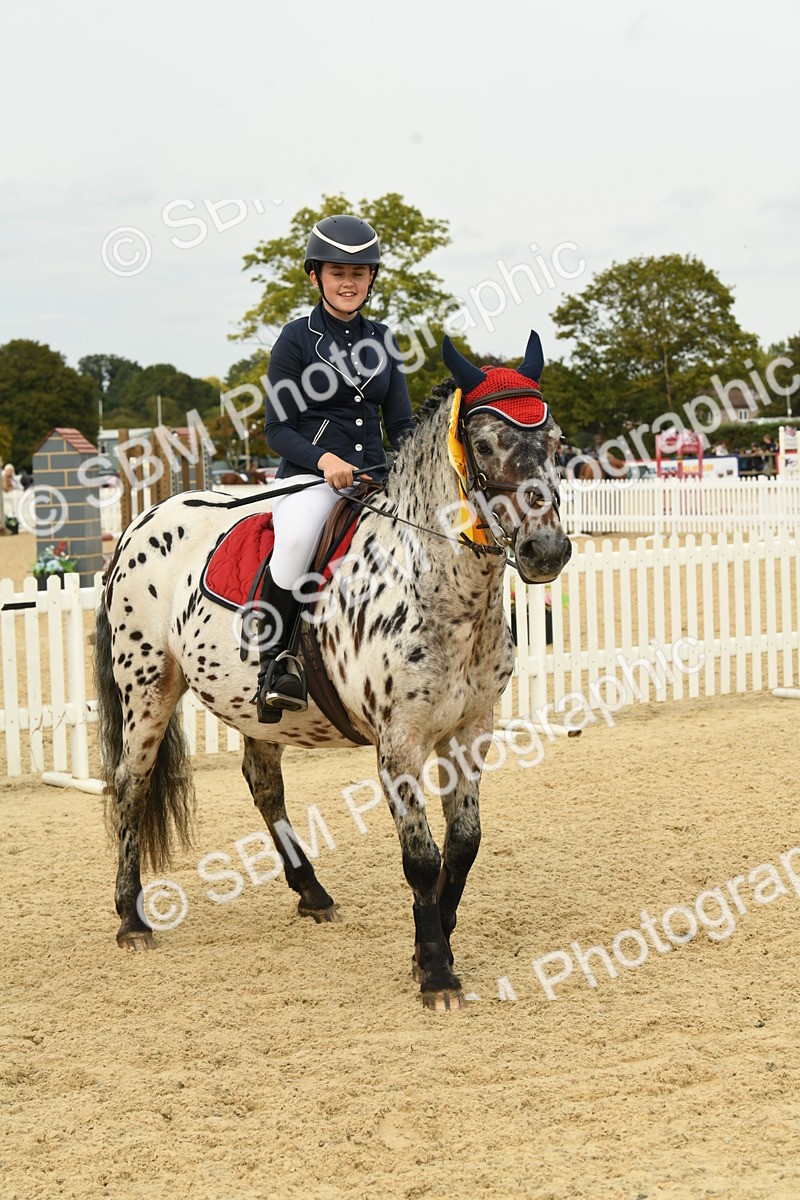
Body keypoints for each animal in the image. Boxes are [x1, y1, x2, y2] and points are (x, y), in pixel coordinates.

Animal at [94, 332, 572, 1012]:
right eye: (483, 445)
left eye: (556, 442)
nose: (545, 552)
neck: (442, 588)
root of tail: (139, 521)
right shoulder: (399, 743)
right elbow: (421, 857)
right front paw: (436, 971)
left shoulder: (470, 730)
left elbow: (463, 844)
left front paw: (435, 940)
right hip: (148, 686)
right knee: (129, 785)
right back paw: (131, 919)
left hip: (253, 707)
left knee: (262, 782)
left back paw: (311, 891)